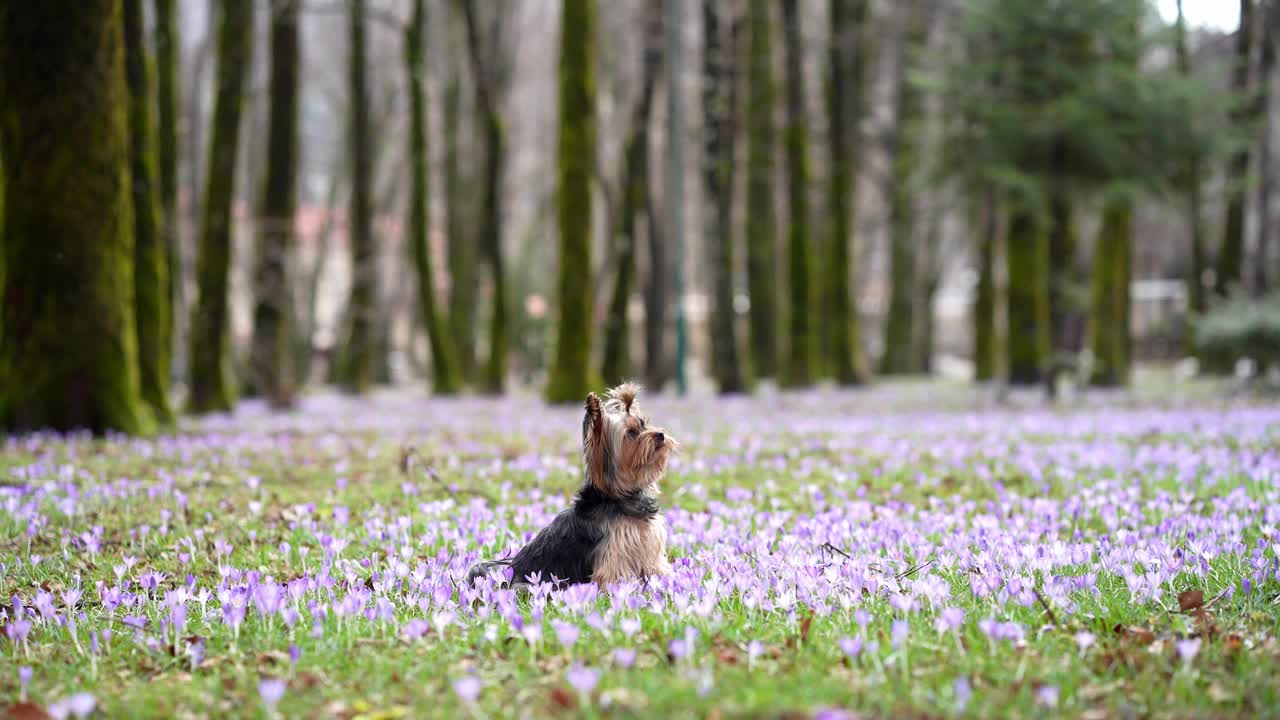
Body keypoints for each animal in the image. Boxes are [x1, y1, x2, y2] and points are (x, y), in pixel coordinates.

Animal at [465, 384, 675, 586]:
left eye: (645, 424)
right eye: (631, 433)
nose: (660, 434)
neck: (621, 495)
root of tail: (507, 571)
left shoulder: (650, 549)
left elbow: (657, 569)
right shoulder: (613, 553)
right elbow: (614, 578)